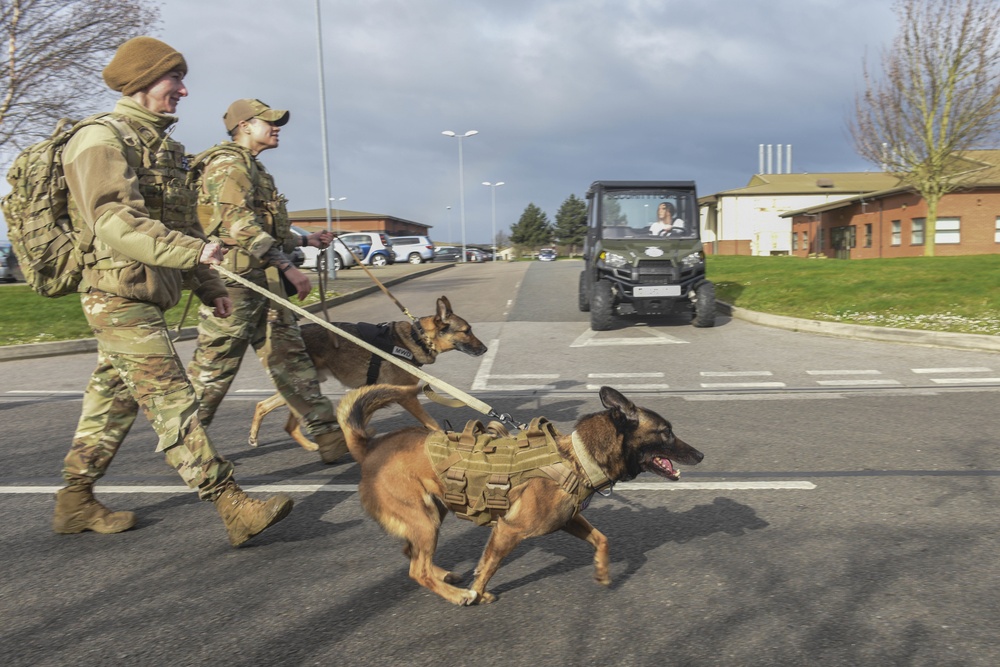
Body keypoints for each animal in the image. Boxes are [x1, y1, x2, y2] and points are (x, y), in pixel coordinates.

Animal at [248, 296, 486, 448]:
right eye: (467, 331)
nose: (485, 349)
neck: (417, 337)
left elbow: (360, 418)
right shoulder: (406, 396)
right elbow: (432, 423)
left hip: (302, 388)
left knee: (273, 413)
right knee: (272, 411)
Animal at [336, 380, 704, 604]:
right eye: (667, 432)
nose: (701, 455)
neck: (576, 457)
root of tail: (369, 446)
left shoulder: (569, 520)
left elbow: (602, 539)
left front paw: (602, 571)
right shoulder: (507, 531)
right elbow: (487, 569)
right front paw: (477, 593)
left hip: (432, 513)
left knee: (411, 555)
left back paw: (445, 576)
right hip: (424, 520)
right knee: (417, 569)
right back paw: (455, 593)